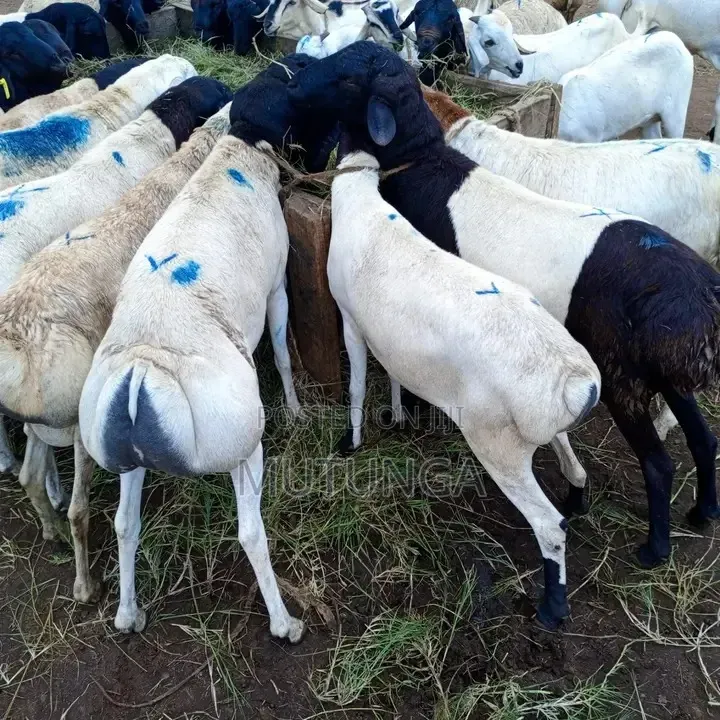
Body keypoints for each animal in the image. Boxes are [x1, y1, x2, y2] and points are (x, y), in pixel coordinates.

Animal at [0, 103, 232, 601]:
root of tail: (19, 341)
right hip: (78, 421)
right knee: (76, 508)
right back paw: (85, 585)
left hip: (46, 420)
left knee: (31, 477)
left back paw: (51, 533)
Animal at [77, 96, 304, 639]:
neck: (231, 152)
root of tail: (145, 366)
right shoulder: (277, 285)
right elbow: (283, 349)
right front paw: (297, 409)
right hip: (240, 443)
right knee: (250, 531)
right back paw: (284, 623)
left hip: (124, 451)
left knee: (124, 523)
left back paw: (128, 614)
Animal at [328, 142, 600, 628]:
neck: (360, 201)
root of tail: (575, 381)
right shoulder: (392, 338)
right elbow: (395, 373)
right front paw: (397, 415)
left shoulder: (350, 320)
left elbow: (357, 385)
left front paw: (351, 442)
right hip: (537, 428)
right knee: (572, 460)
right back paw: (576, 499)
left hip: (497, 443)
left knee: (549, 527)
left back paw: (552, 609)